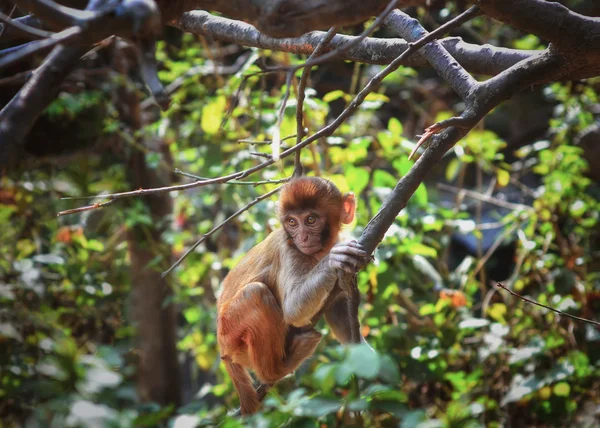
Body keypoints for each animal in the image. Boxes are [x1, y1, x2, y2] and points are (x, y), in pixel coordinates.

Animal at [218, 176, 370, 414]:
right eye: (292, 222)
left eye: (310, 219)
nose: (303, 236)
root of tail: (222, 349)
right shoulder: (289, 249)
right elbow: (292, 309)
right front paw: (334, 259)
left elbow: (340, 314)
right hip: (231, 333)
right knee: (255, 294)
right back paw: (275, 371)